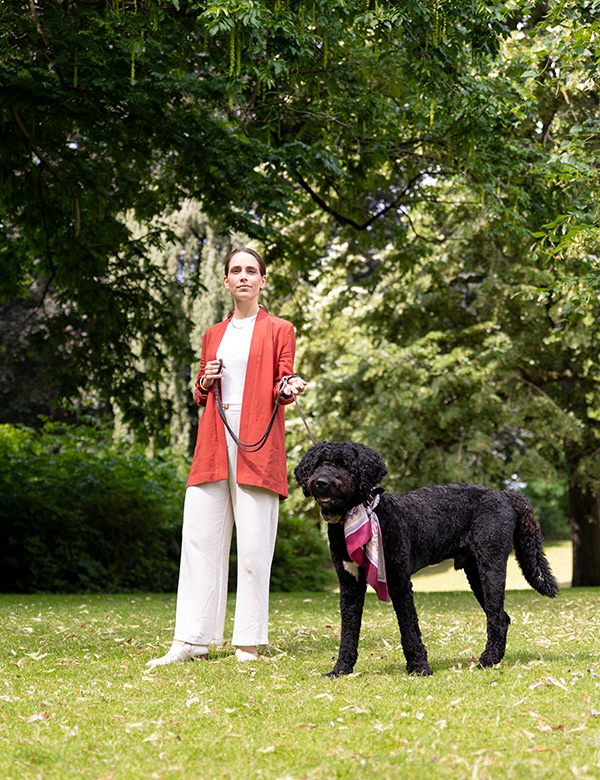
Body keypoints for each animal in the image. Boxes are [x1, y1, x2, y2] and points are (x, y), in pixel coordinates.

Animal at [292, 444, 560, 676]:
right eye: (317, 464)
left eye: (344, 464)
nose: (321, 482)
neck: (358, 514)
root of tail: (504, 494)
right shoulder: (349, 584)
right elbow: (348, 631)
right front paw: (340, 670)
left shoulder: (399, 580)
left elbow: (409, 627)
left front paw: (419, 667)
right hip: (476, 573)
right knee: (502, 617)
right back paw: (493, 659)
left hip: (491, 565)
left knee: (496, 617)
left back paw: (487, 660)